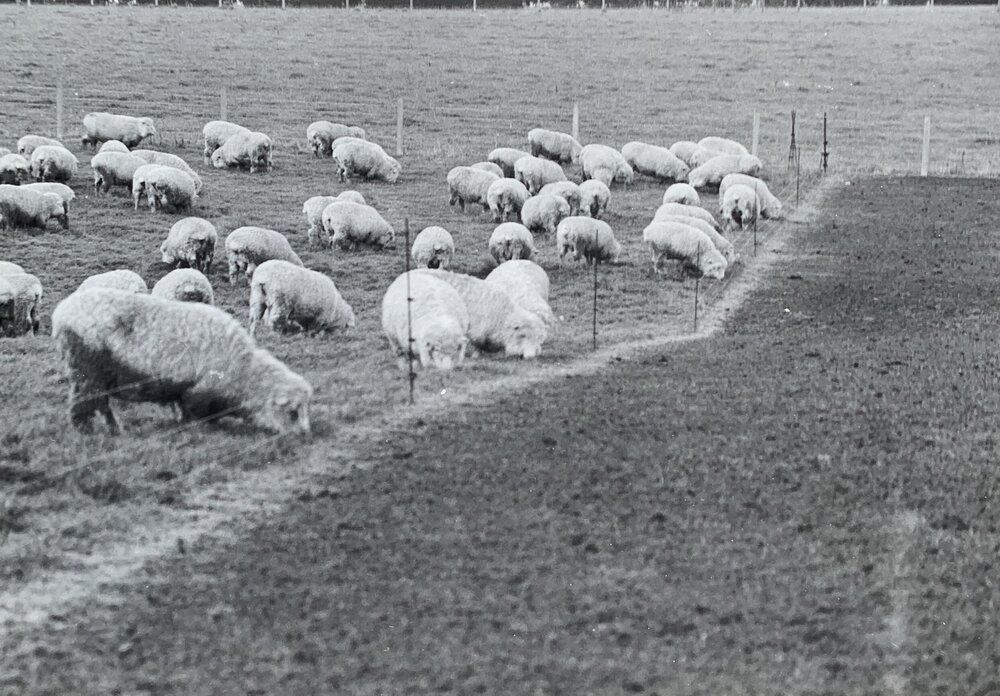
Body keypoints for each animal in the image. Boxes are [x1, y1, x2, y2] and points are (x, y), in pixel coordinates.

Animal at [51, 288, 313, 435]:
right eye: (293, 411)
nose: (304, 434)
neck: (243, 371)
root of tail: (61, 312)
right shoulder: (198, 392)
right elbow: (197, 414)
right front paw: (199, 428)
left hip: (98, 377)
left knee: (101, 404)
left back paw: (115, 429)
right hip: (86, 370)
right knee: (82, 404)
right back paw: (86, 431)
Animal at [416, 269, 547, 359]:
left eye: (539, 338)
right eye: (523, 335)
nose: (531, 356)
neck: (502, 316)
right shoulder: (477, 330)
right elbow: (477, 344)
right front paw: (476, 355)